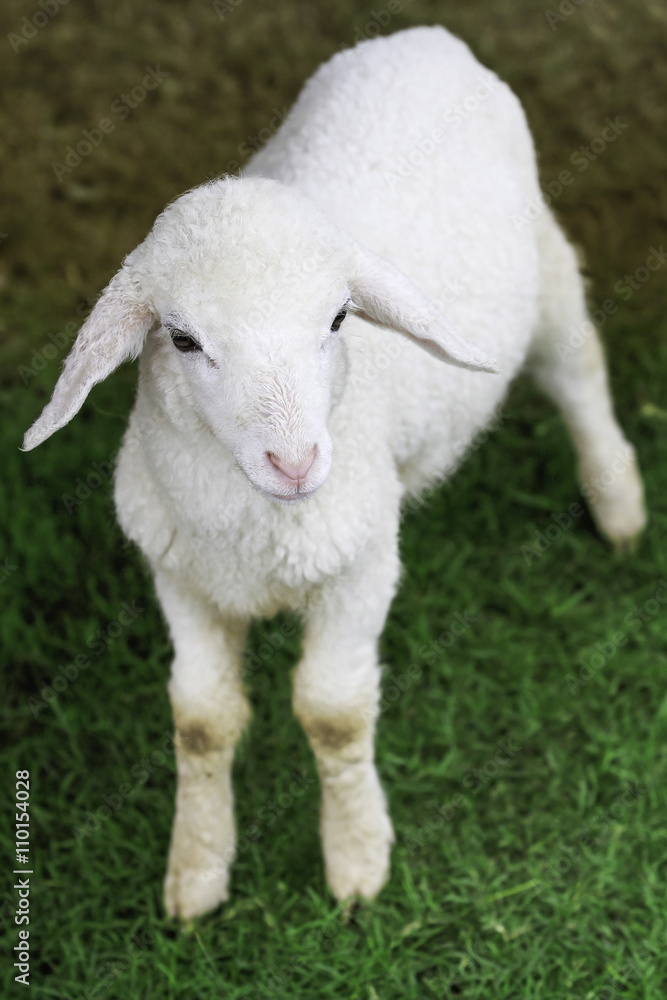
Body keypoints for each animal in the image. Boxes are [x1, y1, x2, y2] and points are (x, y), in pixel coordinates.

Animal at [23, 25, 646, 920]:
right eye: (181, 339)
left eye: (338, 319)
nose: (295, 463)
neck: (252, 530)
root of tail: (422, 36)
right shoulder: (182, 575)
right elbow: (200, 720)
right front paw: (197, 874)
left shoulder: (360, 566)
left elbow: (333, 715)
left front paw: (355, 861)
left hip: (547, 271)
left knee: (579, 374)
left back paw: (618, 503)